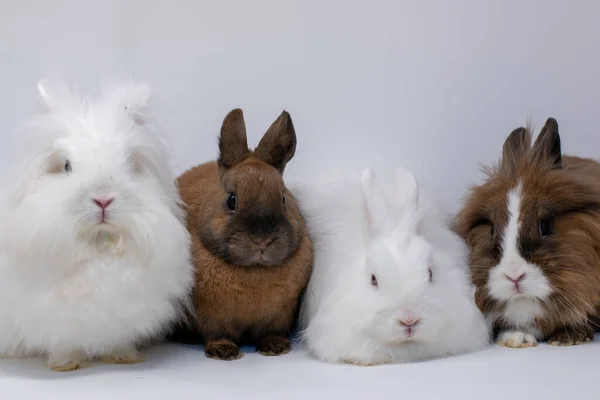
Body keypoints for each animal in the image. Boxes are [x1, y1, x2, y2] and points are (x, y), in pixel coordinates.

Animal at [0, 78, 195, 372]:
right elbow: (64, 342)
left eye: (129, 164)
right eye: (66, 166)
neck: (100, 248)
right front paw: (66, 363)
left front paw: (123, 357)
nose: (103, 199)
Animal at [176, 108, 312, 360]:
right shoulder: (212, 317)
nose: (262, 240)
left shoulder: (280, 315)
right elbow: (217, 333)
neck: (254, 272)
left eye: (283, 199)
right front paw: (223, 352)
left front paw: (276, 347)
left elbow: (272, 331)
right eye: (232, 200)